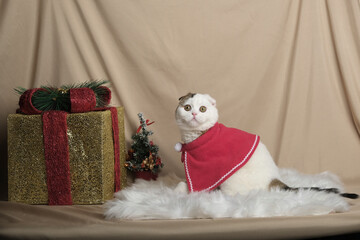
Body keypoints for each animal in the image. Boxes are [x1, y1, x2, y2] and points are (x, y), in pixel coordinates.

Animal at [174, 92, 358, 199]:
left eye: (203, 109)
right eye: (187, 107)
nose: (194, 113)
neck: (197, 137)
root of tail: (274, 180)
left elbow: (192, 186)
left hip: (232, 179)